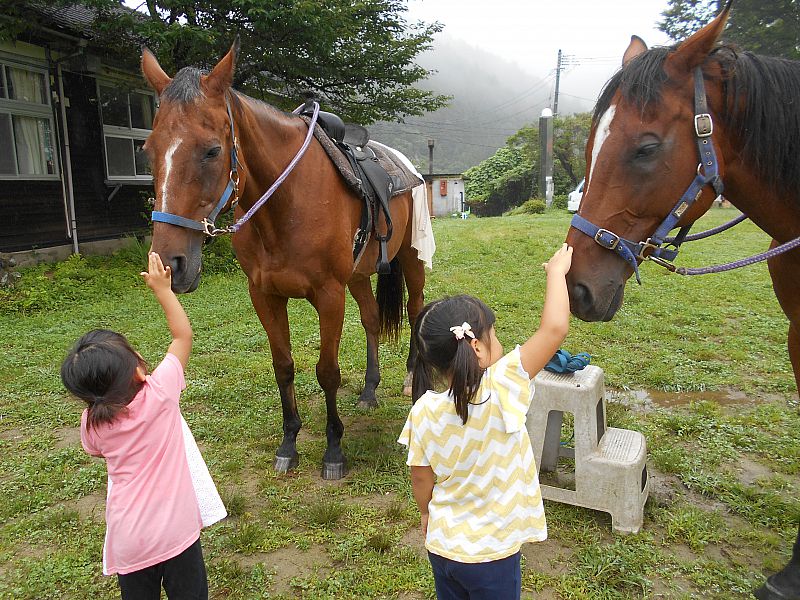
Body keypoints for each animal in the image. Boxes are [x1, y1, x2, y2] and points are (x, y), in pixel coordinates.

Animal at [140, 42, 429, 480]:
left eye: (212, 150)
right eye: (149, 150)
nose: (170, 265)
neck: (286, 203)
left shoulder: (329, 295)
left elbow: (326, 371)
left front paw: (333, 450)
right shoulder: (264, 295)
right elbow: (283, 366)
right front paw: (289, 442)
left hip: (411, 259)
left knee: (415, 312)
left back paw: (413, 380)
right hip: (359, 275)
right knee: (372, 318)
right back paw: (369, 389)